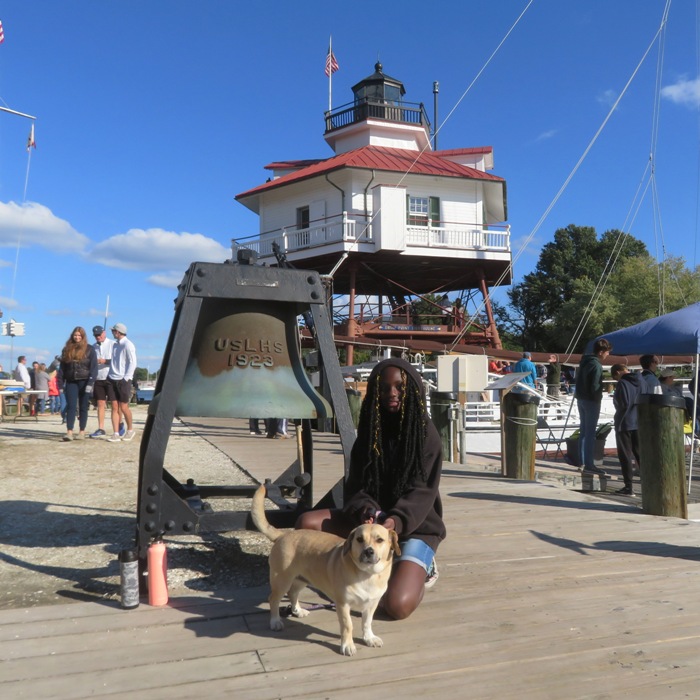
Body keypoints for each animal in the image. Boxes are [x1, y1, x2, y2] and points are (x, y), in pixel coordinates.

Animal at [252, 482, 400, 656]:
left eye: (380, 540)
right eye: (359, 539)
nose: (368, 551)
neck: (367, 574)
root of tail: (282, 535)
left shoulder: (371, 604)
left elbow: (367, 622)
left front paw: (369, 638)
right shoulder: (343, 605)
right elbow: (348, 626)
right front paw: (347, 645)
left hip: (301, 579)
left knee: (293, 593)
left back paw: (298, 610)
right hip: (282, 581)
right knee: (273, 599)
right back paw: (275, 621)